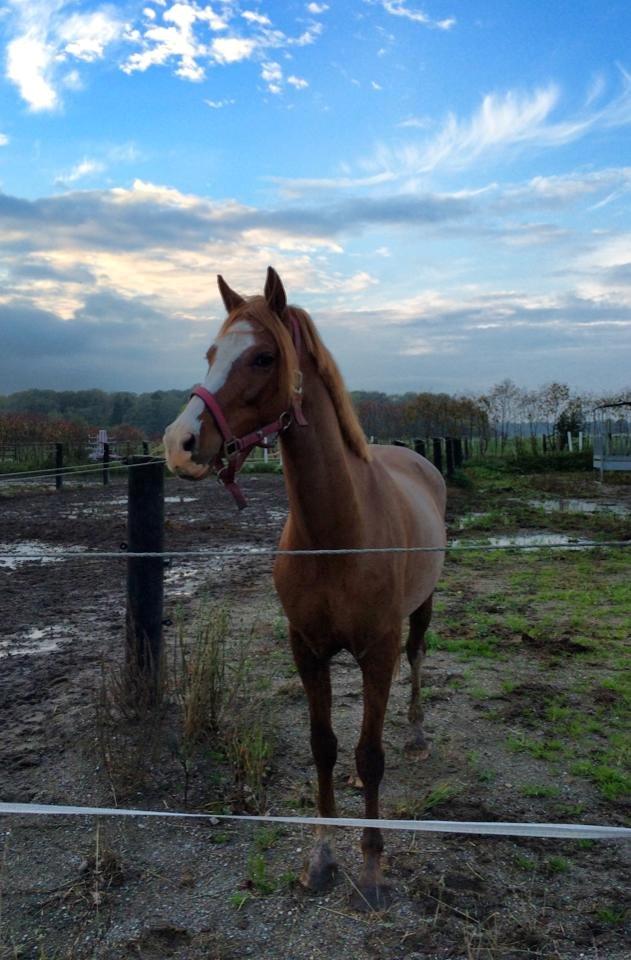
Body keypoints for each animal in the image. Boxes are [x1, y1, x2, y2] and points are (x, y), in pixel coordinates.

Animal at [165, 266, 446, 912]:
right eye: (212, 353)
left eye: (263, 357)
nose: (178, 442)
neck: (335, 534)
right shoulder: (307, 649)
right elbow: (325, 746)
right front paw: (320, 857)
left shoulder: (377, 651)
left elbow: (372, 753)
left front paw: (372, 869)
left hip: (421, 609)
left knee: (418, 658)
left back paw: (418, 733)